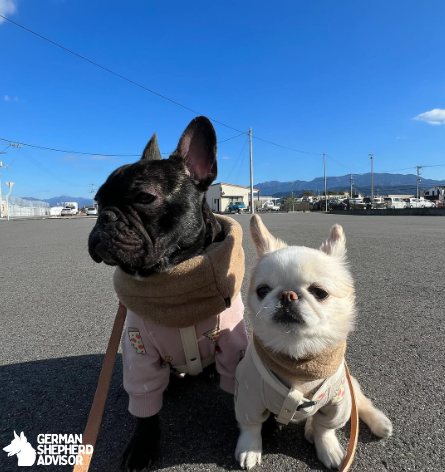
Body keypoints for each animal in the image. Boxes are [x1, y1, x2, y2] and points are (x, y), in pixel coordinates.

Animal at [234, 216, 390, 470]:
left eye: (320, 292)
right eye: (262, 290)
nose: (287, 294)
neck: (298, 358)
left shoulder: (337, 402)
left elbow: (325, 429)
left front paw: (328, 449)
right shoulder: (249, 396)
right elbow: (251, 426)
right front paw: (250, 449)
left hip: (350, 388)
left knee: (361, 403)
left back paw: (379, 423)